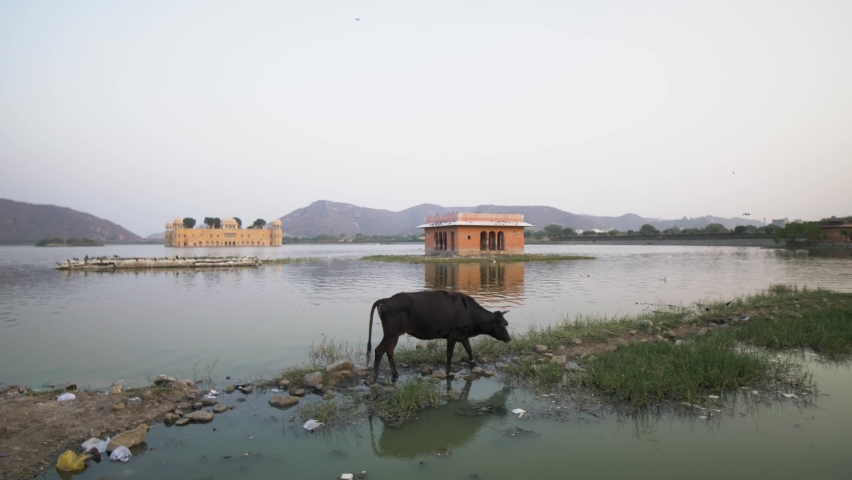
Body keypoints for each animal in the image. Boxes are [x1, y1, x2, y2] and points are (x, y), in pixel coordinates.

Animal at [366, 290, 511, 381]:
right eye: (503, 324)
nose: (509, 338)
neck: (468, 311)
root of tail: (387, 300)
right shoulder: (452, 335)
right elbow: (449, 353)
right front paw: (448, 372)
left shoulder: (463, 335)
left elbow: (469, 349)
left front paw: (473, 364)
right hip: (391, 333)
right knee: (379, 350)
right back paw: (374, 378)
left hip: (394, 334)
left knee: (389, 350)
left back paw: (395, 373)